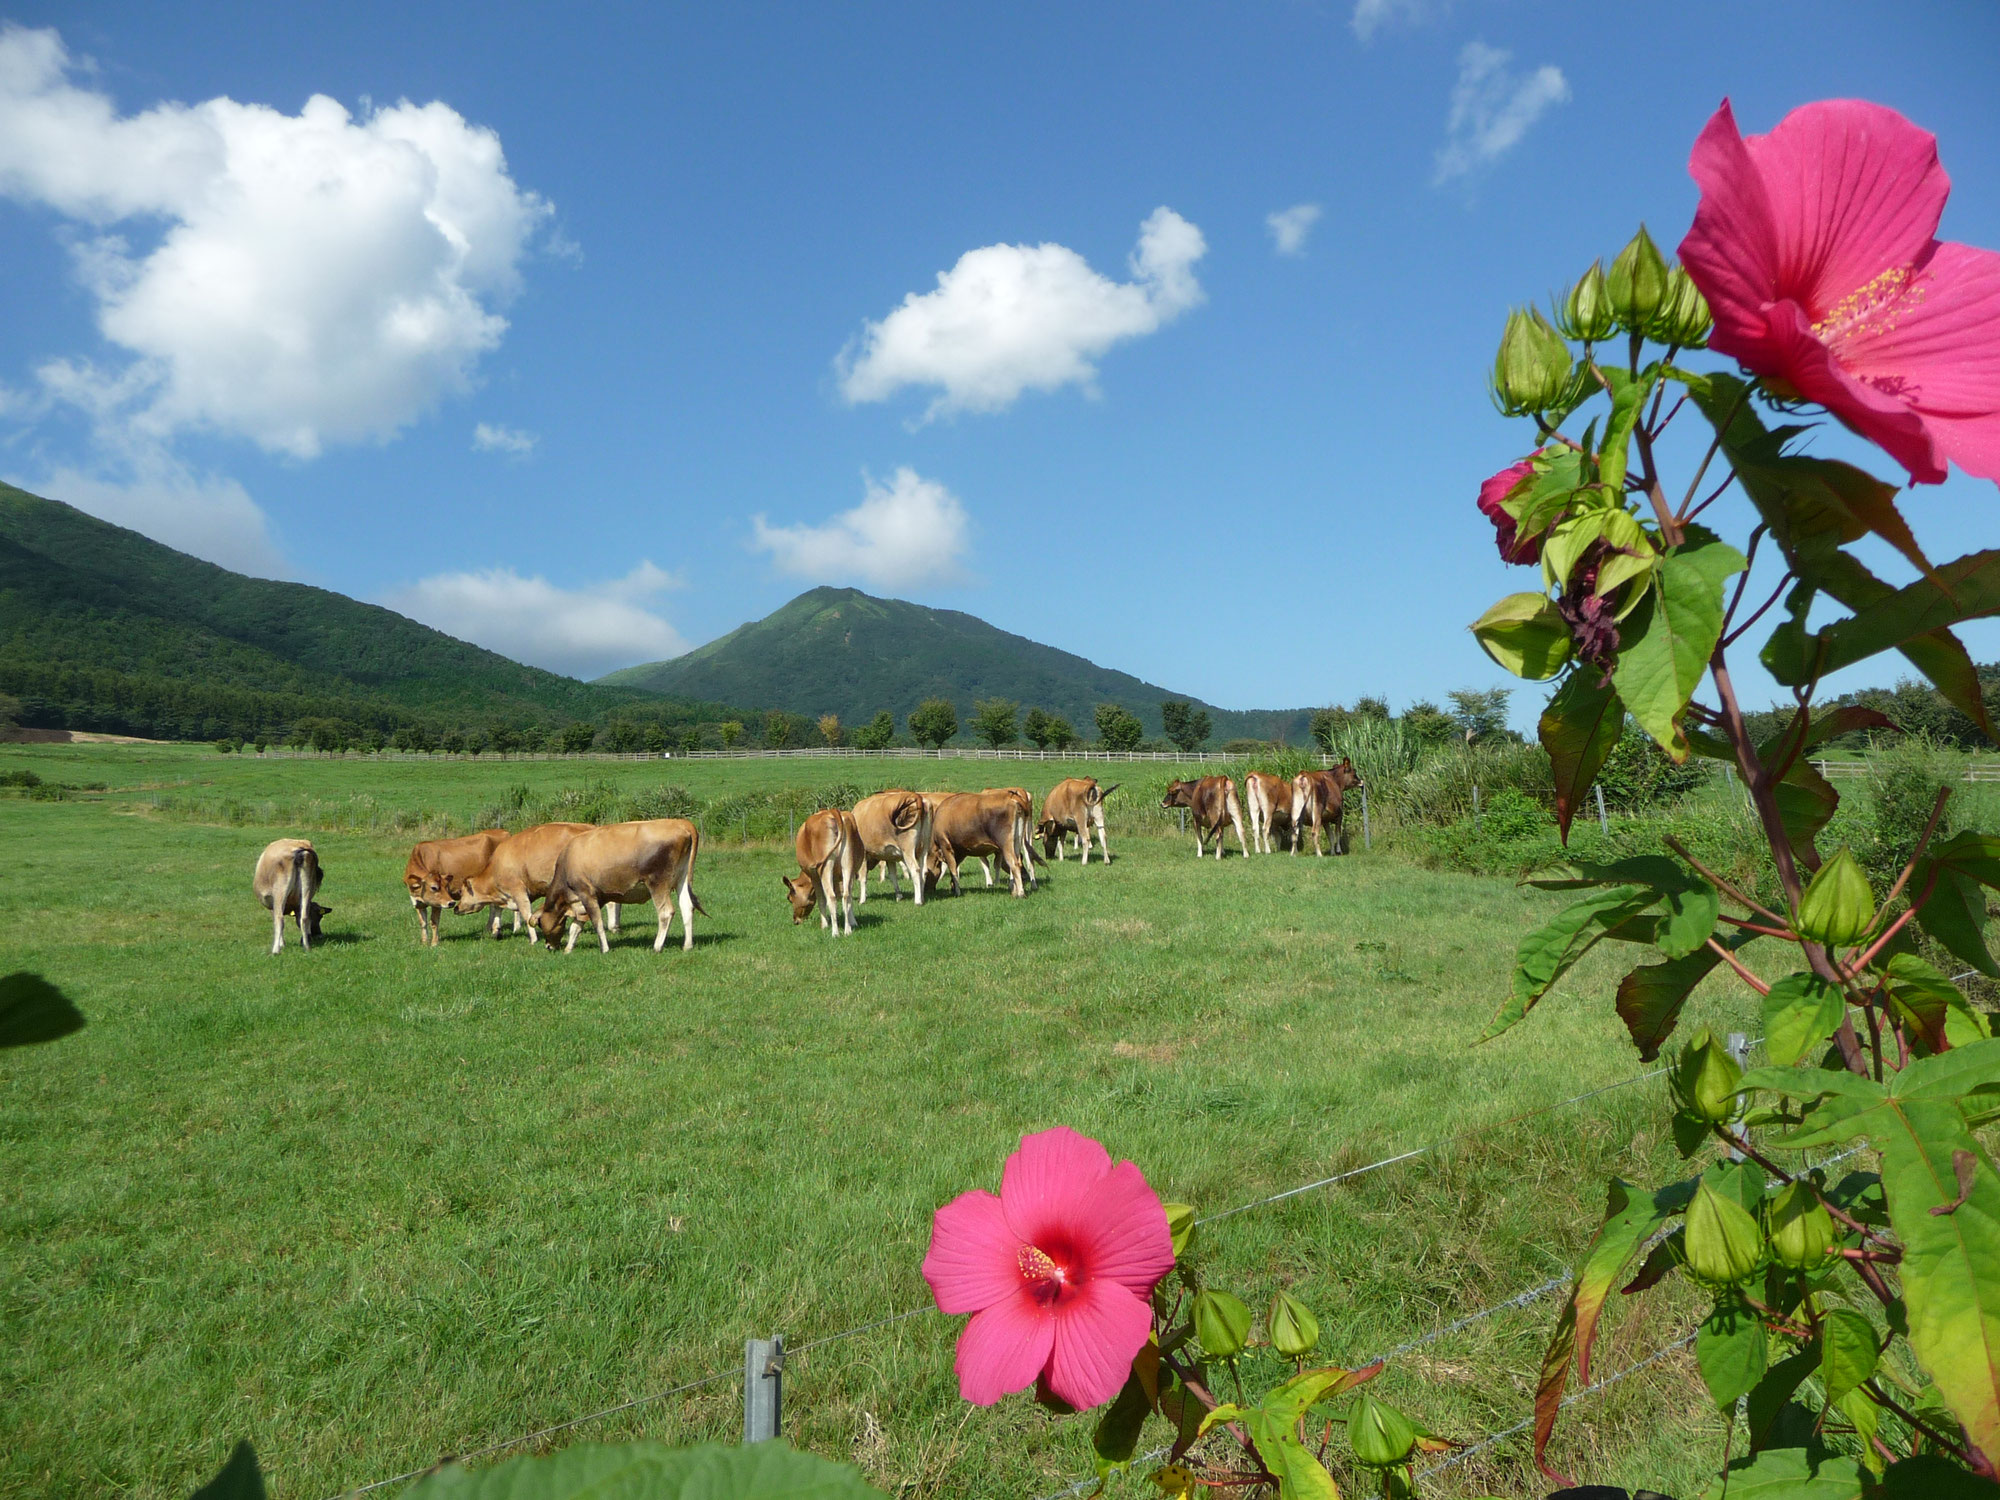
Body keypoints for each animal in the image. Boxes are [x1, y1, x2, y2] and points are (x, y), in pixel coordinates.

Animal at [532, 816, 704, 956]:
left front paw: (604, 949)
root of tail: (681, 823)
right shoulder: (593, 898)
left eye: (540, 924)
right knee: (687, 907)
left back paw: (657, 947)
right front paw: (568, 948)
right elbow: (577, 926)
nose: (548, 946)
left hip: (658, 883)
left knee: (666, 912)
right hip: (682, 879)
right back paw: (687, 945)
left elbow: (597, 922)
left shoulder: (586, 894)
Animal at [780, 812, 860, 940]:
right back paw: (847, 931)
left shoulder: (814, 876)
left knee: (831, 897)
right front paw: (852, 923)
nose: (795, 921)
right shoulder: (850, 874)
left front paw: (824, 925)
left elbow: (821, 899)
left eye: (789, 898)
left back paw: (835, 933)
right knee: (846, 895)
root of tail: (833, 812)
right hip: (847, 863)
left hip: (825, 866)